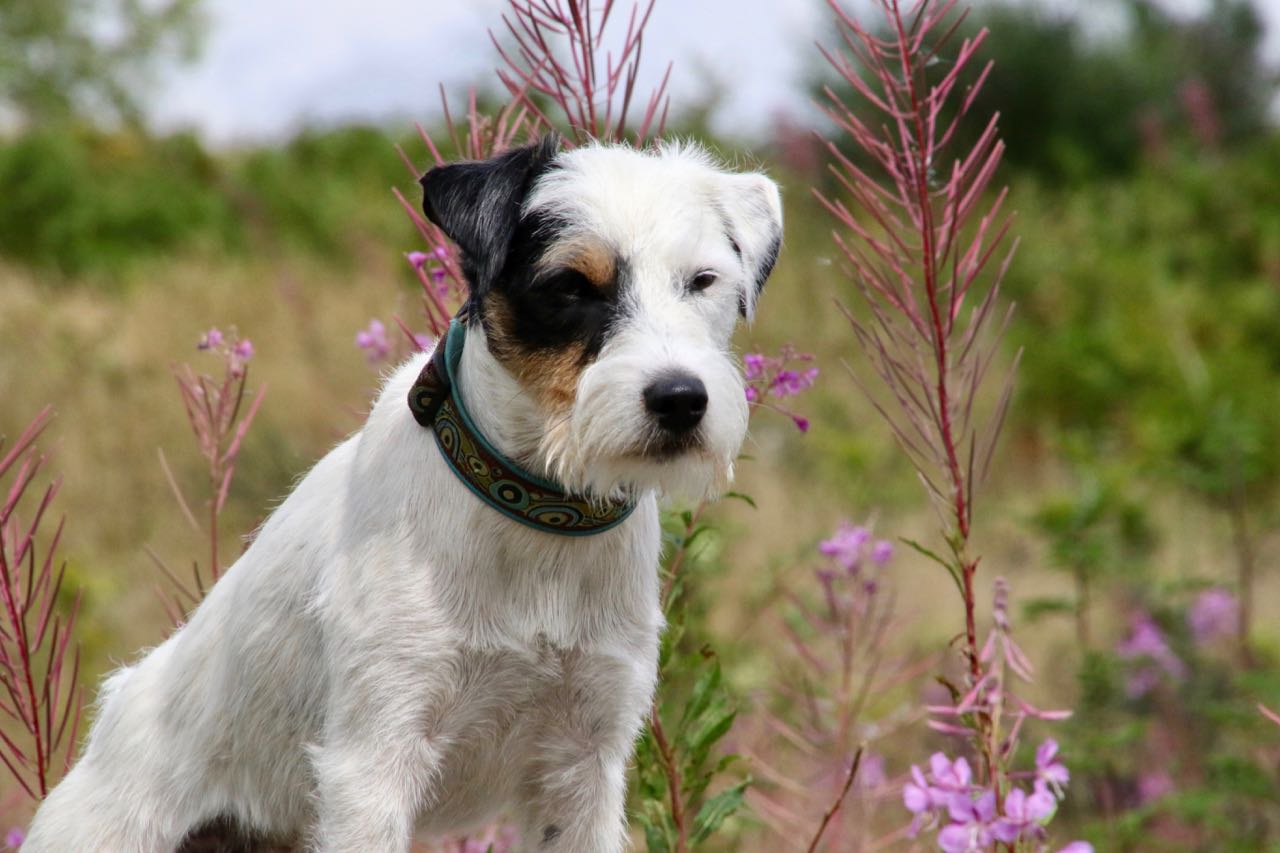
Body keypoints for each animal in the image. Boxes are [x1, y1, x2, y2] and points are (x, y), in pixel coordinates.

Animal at [24, 133, 783, 850]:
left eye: (703, 280)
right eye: (571, 285)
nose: (681, 399)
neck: (534, 516)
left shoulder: (584, 766)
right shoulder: (373, 760)